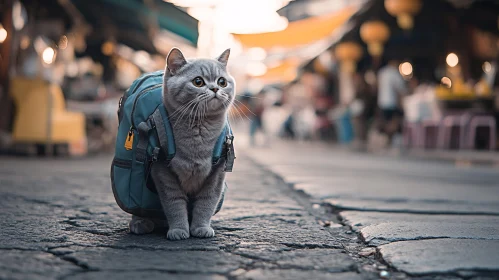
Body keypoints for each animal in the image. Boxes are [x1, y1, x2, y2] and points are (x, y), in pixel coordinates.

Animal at [129, 48, 234, 241]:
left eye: (222, 81)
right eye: (198, 82)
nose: (215, 88)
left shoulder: (216, 176)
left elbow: (206, 203)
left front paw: (201, 228)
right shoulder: (163, 172)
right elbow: (174, 204)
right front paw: (179, 230)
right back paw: (140, 223)